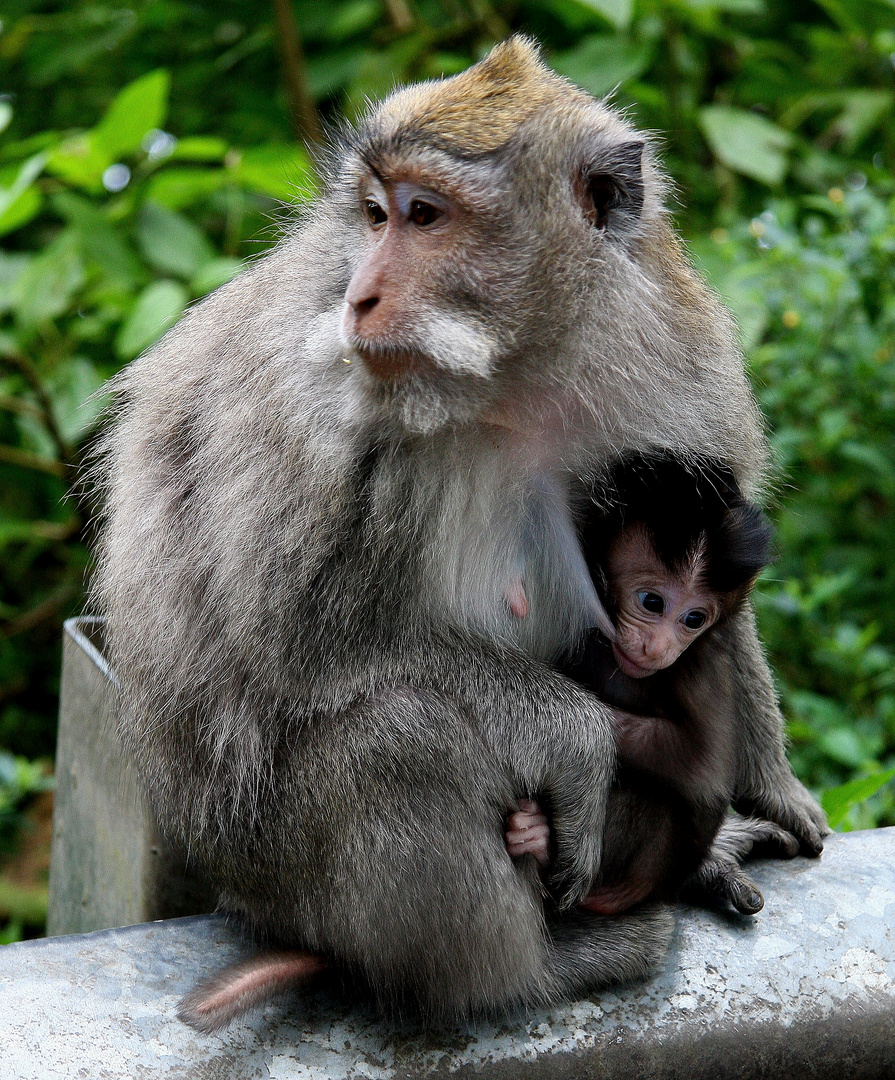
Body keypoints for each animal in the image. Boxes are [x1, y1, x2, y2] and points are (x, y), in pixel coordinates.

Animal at [509, 451, 777, 915]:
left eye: (694, 619)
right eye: (652, 602)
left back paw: (540, 840)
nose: (658, 647)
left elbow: (702, 764)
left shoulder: (697, 665)